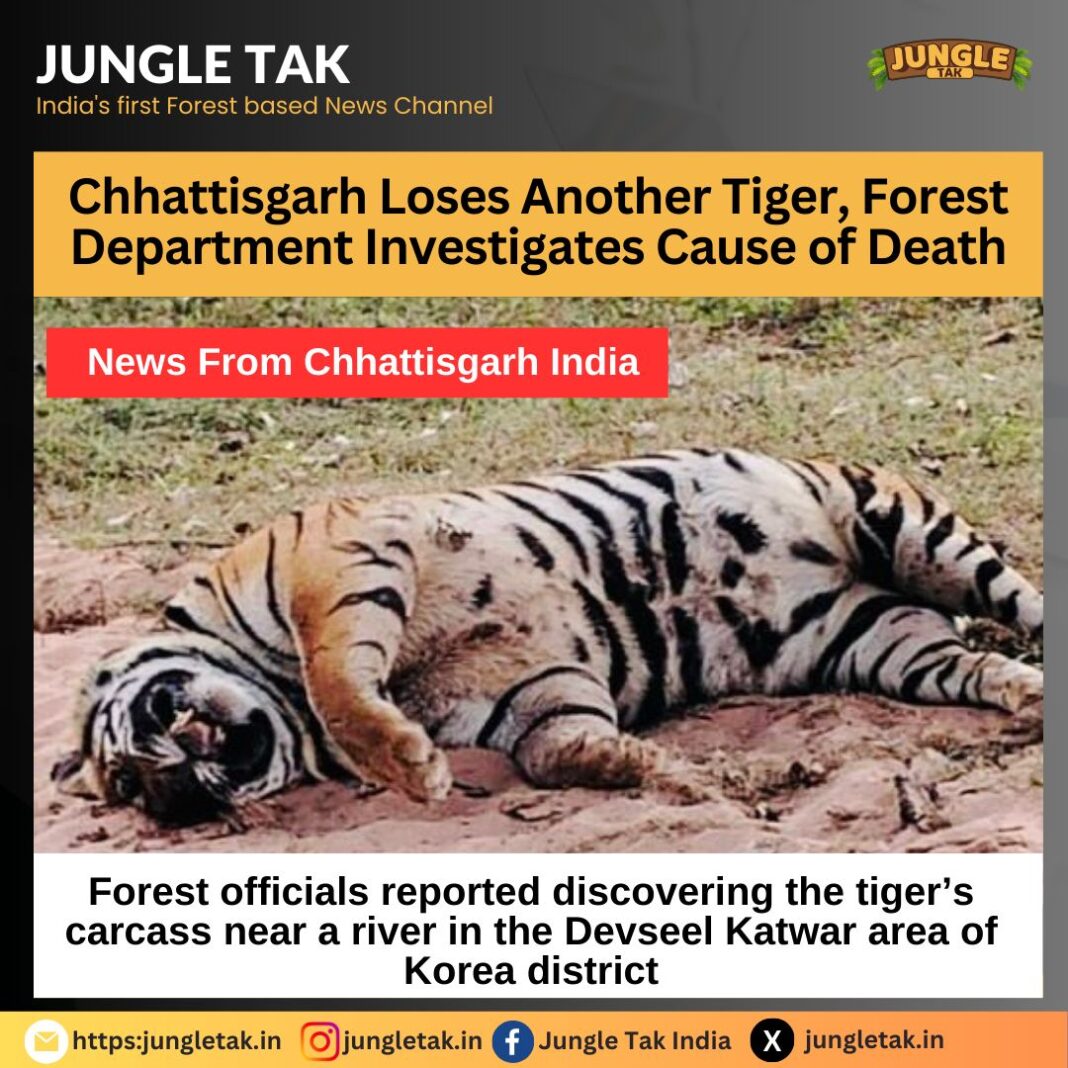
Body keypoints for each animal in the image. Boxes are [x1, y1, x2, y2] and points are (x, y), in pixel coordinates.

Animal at [51, 447, 1043, 826]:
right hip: (875, 638)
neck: (280, 704)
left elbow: (340, 682)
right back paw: (1026, 699)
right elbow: (560, 752)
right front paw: (680, 778)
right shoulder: (527, 696)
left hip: (906, 524)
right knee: (970, 661)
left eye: (134, 765)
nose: (176, 791)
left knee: (1023, 603)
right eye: (137, 794)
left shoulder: (337, 563)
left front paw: (409, 769)